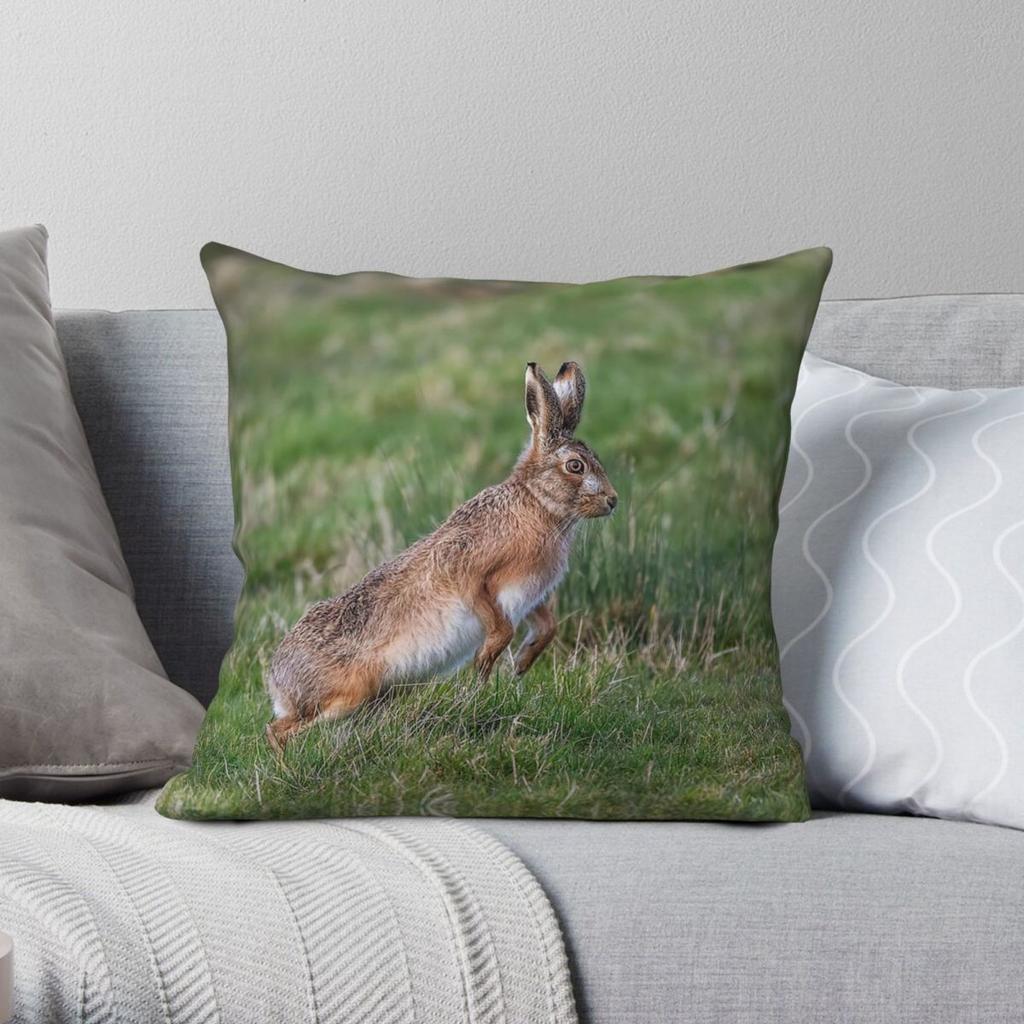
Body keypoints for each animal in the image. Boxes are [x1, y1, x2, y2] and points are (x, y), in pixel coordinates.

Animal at [265, 360, 617, 751]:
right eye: (575, 466)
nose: (613, 501)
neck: (537, 504)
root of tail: (278, 683)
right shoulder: (468, 572)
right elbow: (500, 625)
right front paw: (485, 664)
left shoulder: (529, 594)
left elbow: (547, 625)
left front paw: (522, 664)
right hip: (349, 693)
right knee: (277, 729)